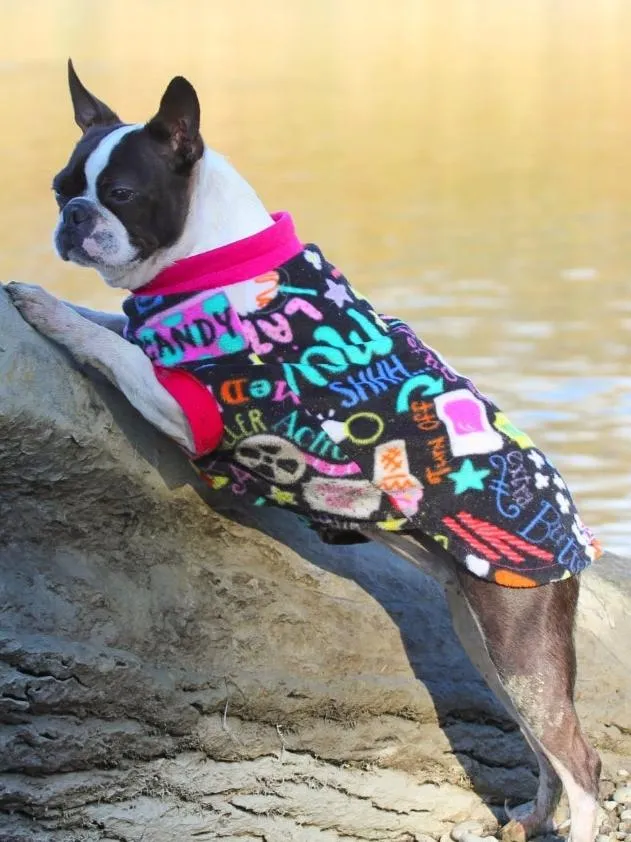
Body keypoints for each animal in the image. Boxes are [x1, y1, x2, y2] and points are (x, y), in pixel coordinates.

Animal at [8, 62, 604, 836]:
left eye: (121, 194)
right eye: (61, 188)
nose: (73, 217)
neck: (206, 260)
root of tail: (574, 534)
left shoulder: (190, 408)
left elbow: (110, 344)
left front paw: (44, 306)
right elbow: (114, 325)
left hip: (518, 642)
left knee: (580, 759)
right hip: (486, 643)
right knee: (542, 747)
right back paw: (529, 817)